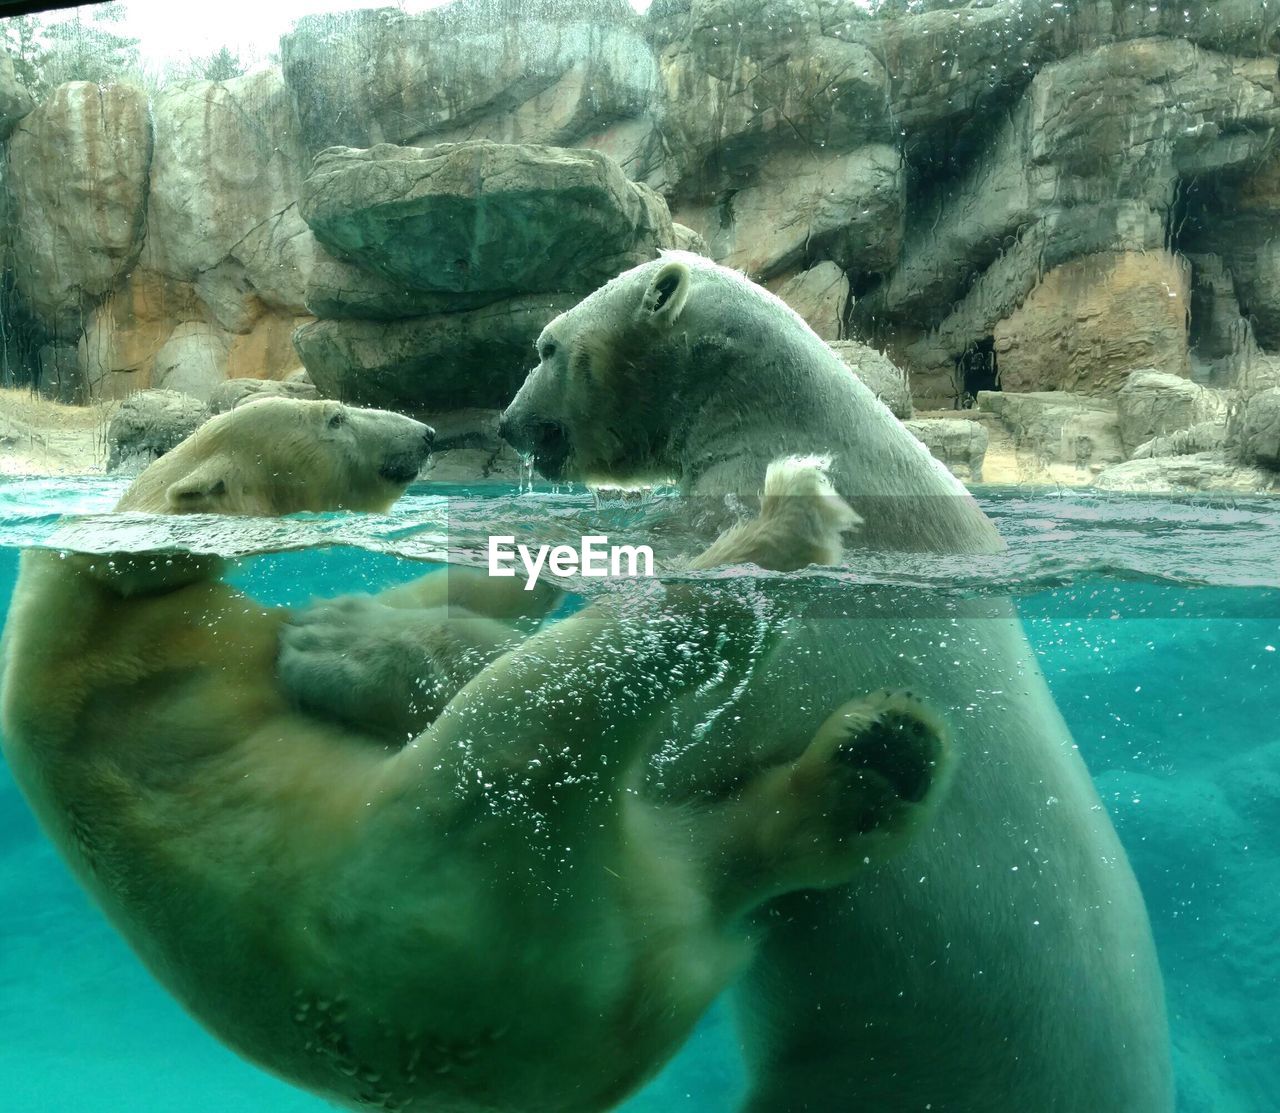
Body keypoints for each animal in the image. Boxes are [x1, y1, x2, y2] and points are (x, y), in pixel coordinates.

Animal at [0, 396, 957, 1113]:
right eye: (333, 418)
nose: (423, 436)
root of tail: (649, 976)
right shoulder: (110, 632)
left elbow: (427, 591)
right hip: (472, 859)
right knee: (540, 703)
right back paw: (790, 521)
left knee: (723, 833)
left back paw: (881, 756)